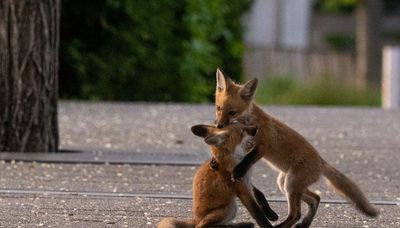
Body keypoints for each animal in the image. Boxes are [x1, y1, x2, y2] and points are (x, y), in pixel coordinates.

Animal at [212, 69, 378, 228]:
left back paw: (284, 226)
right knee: (315, 198)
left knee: (296, 213)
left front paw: (238, 171)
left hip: (291, 184)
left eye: (232, 112)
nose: (218, 126)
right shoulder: (244, 149)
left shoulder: (263, 146)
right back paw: (304, 224)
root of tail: (321, 162)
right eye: (218, 108)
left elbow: (248, 160)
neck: (249, 120)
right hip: (286, 184)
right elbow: (254, 186)